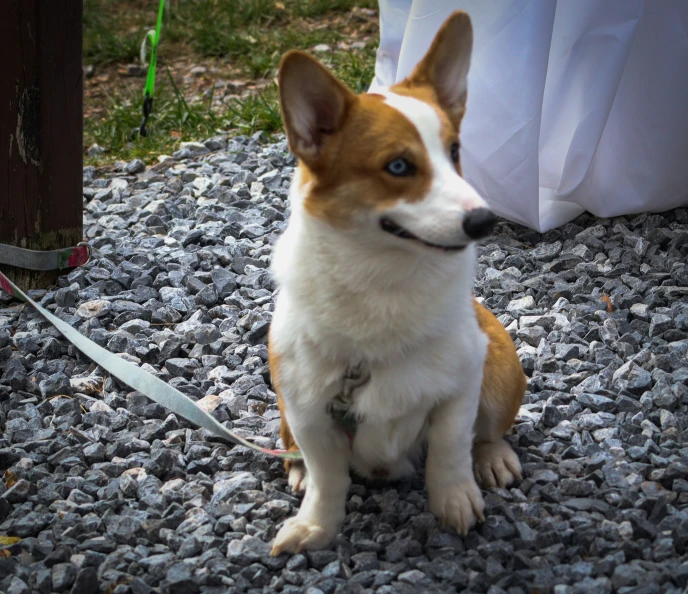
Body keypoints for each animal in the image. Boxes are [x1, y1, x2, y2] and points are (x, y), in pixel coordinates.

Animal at [266, 10, 524, 556]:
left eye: (454, 151)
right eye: (399, 166)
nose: (485, 221)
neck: (382, 281)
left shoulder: (460, 386)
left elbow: (449, 449)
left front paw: (455, 502)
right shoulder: (308, 409)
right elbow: (328, 478)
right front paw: (316, 526)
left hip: (499, 367)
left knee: (487, 430)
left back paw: (492, 457)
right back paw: (296, 469)